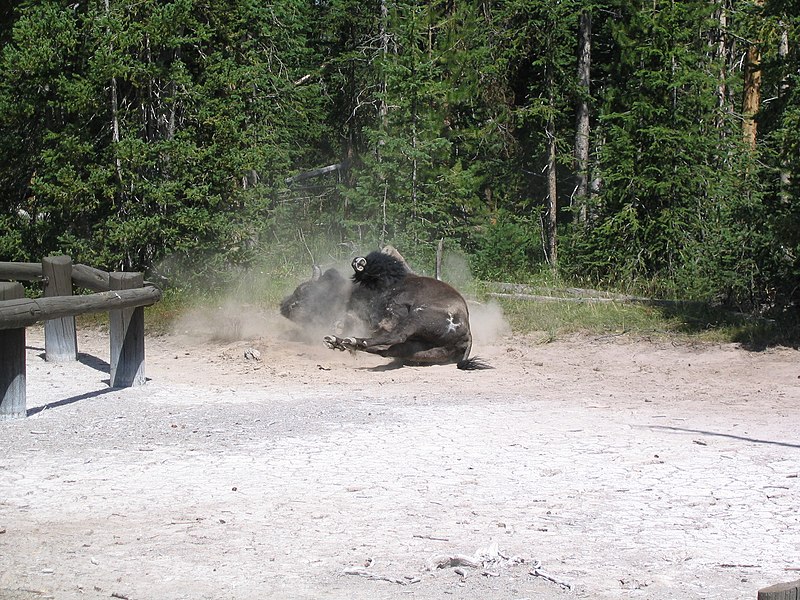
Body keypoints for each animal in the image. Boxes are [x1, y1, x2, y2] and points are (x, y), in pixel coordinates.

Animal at [282, 248, 494, 370]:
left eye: (304, 290)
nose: (284, 306)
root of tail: (468, 334)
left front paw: (359, 262)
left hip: (418, 315)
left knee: (395, 337)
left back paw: (346, 341)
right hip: (420, 348)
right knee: (388, 348)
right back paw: (343, 342)